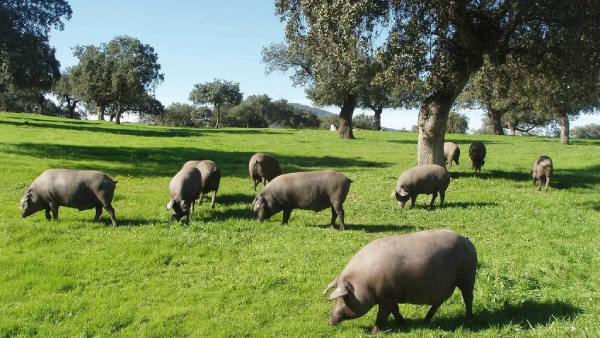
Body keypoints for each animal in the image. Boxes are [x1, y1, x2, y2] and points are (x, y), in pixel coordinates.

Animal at [324, 230, 478, 332]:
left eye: (344, 298)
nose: (330, 321)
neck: (365, 283)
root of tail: (467, 241)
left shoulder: (387, 296)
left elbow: (383, 314)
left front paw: (375, 332)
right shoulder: (390, 296)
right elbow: (395, 310)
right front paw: (403, 323)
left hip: (467, 276)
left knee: (468, 297)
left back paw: (469, 318)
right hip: (447, 285)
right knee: (438, 302)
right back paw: (426, 320)